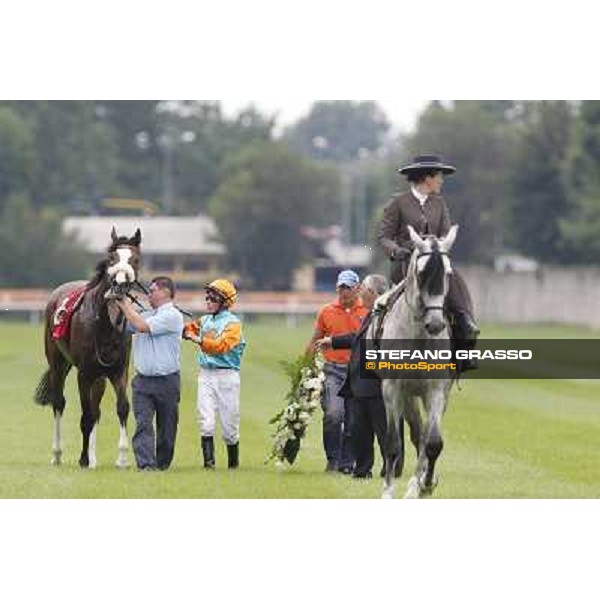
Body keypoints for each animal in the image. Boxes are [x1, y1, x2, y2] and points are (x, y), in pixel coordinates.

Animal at [34, 227, 142, 466]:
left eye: (135, 259)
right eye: (112, 259)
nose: (119, 284)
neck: (106, 324)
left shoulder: (118, 370)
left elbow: (122, 407)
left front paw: (121, 458)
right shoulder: (83, 373)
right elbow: (86, 415)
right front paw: (82, 459)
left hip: (99, 376)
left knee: (96, 408)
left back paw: (93, 458)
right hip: (58, 363)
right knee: (59, 403)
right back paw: (57, 455)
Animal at [368, 224, 458, 496]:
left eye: (448, 273)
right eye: (421, 272)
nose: (436, 324)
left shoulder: (436, 391)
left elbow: (433, 442)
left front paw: (425, 484)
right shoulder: (392, 389)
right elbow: (392, 442)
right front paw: (388, 491)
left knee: (424, 436)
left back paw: (417, 484)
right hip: (407, 396)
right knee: (416, 433)